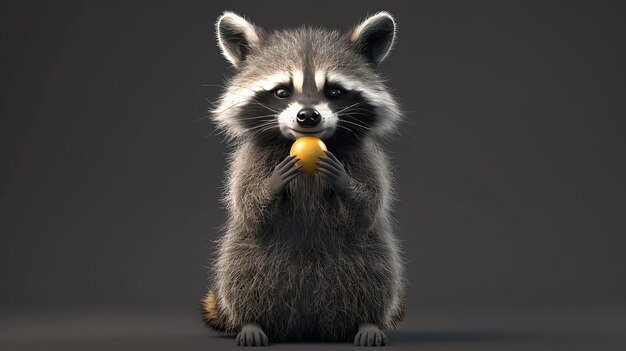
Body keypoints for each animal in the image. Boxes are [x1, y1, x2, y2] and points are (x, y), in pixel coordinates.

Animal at [200, 10, 404, 346]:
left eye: (334, 91)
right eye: (282, 91)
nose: (308, 116)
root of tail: (306, 324)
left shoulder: (366, 158)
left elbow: (367, 208)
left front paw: (344, 183)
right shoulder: (248, 160)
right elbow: (248, 207)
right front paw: (272, 184)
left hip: (368, 255)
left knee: (377, 272)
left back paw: (368, 322)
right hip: (246, 254)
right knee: (240, 272)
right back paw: (252, 322)